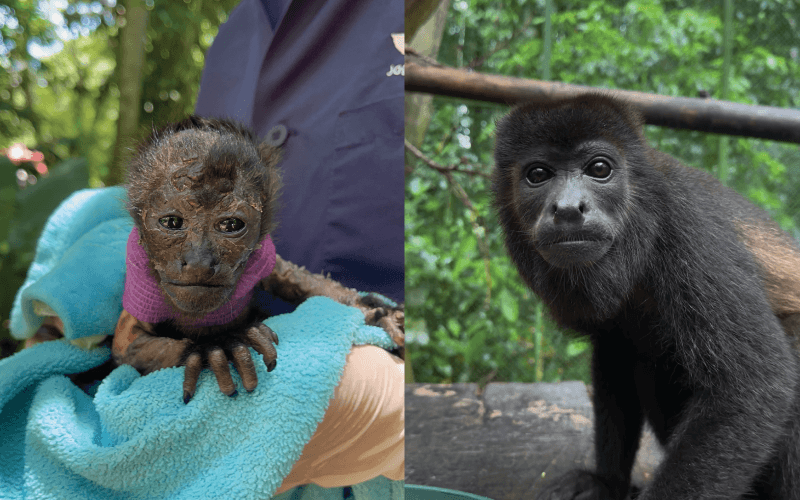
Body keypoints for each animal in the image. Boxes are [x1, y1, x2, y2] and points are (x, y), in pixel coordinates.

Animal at [112, 116, 404, 404]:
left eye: (231, 225)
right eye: (172, 222)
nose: (199, 261)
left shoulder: (262, 258)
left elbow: (289, 275)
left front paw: (373, 309)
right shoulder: (141, 285)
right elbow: (125, 347)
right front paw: (217, 346)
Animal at [492, 94, 800, 500]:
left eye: (599, 168)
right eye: (538, 175)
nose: (569, 209)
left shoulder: (686, 226)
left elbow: (753, 382)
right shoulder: (613, 336)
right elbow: (616, 356)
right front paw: (605, 483)